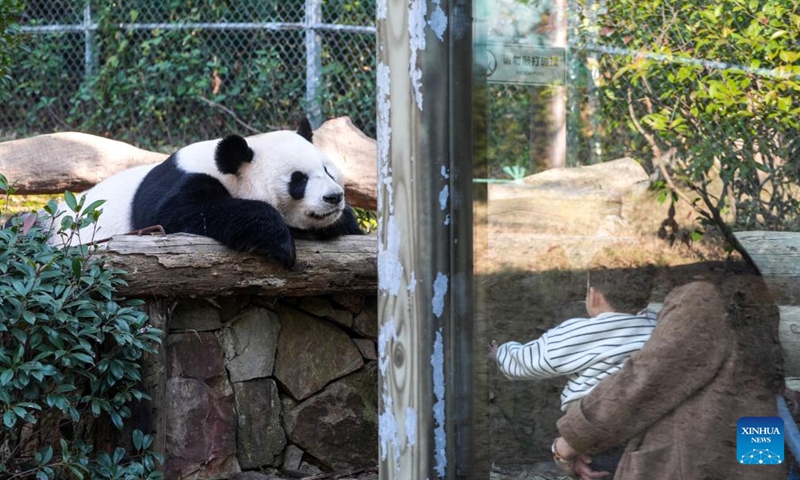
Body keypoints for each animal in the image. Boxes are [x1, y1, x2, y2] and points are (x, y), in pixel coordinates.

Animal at [57, 120, 364, 268]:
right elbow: (187, 215)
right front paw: (281, 243)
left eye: (327, 171)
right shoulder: (184, 184)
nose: (333, 197)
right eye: (298, 180)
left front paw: (344, 223)